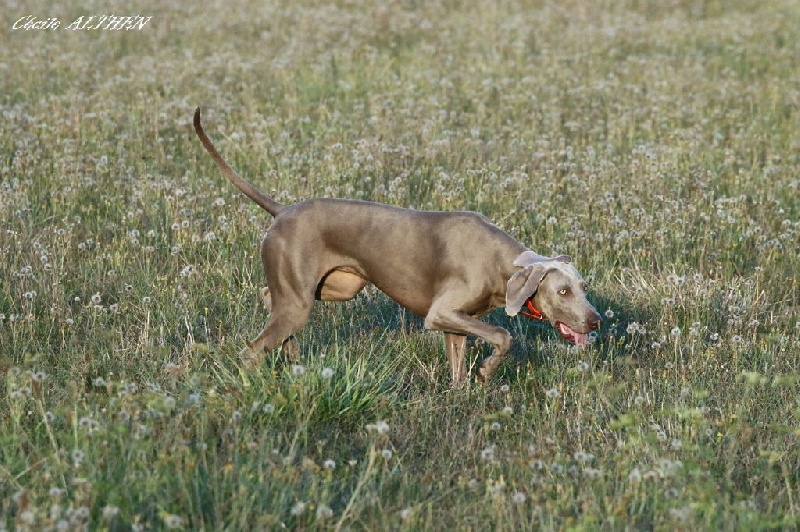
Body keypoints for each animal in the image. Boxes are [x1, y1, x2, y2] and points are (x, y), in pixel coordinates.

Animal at [194, 107, 600, 382]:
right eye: (563, 291)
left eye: (583, 286)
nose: (596, 321)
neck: (501, 263)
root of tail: (283, 211)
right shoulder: (441, 313)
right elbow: (503, 335)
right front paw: (487, 370)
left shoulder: (457, 324)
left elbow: (460, 367)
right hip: (299, 299)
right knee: (251, 350)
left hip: (337, 286)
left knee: (269, 298)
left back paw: (292, 353)